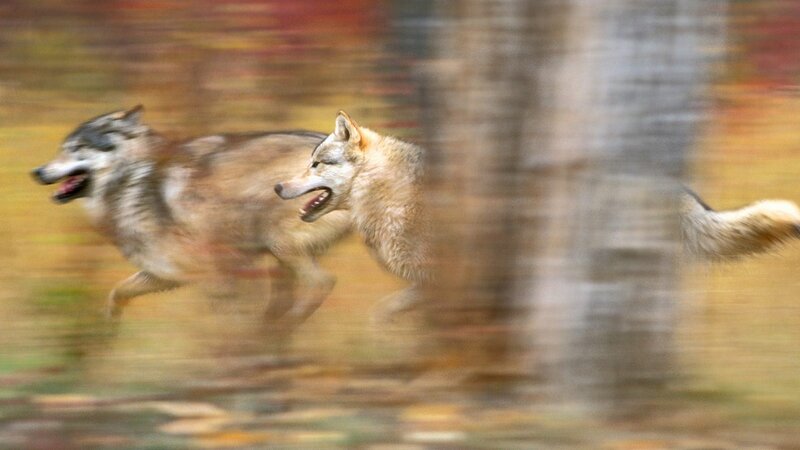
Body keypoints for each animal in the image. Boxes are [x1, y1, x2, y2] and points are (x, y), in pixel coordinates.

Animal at [32, 106, 350, 322]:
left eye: (76, 148)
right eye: (63, 148)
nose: (37, 171)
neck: (130, 179)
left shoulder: (214, 273)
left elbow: (228, 319)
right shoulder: (164, 272)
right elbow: (118, 290)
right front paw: (110, 322)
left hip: (278, 243)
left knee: (323, 282)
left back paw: (282, 325)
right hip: (279, 255)